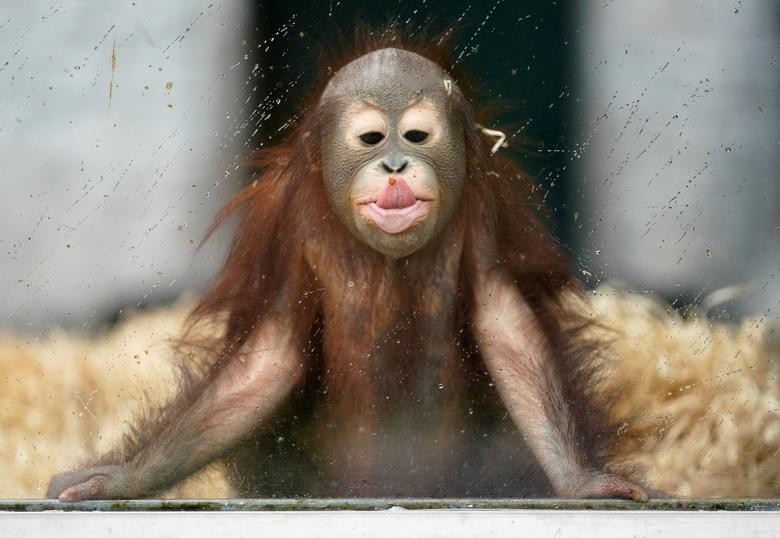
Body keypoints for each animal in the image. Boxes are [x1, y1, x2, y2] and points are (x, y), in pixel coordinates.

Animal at [47, 42, 652, 501]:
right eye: (370, 139)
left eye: (416, 136)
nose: (394, 165)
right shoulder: (291, 227)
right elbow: (269, 358)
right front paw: (120, 480)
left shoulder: (482, 212)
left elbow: (506, 326)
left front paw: (582, 481)